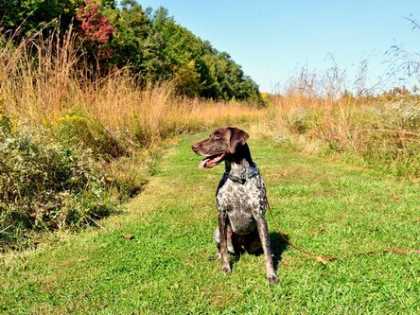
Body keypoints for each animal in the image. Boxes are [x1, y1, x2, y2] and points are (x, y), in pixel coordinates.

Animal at [191, 127, 278, 286]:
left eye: (217, 137)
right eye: (210, 136)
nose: (193, 147)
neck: (239, 178)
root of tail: (241, 247)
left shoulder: (259, 216)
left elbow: (267, 250)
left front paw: (271, 274)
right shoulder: (222, 213)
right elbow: (224, 247)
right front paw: (226, 267)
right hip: (217, 232)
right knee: (224, 248)